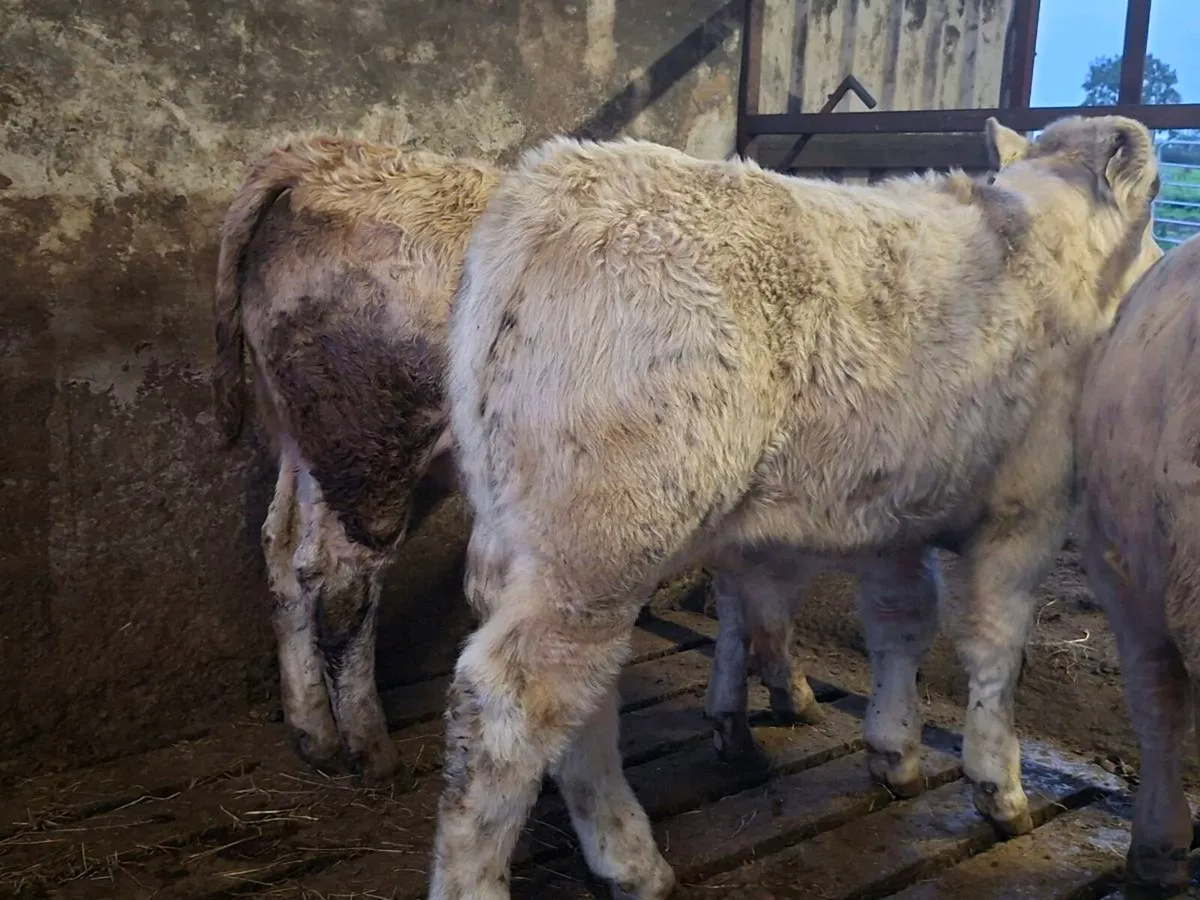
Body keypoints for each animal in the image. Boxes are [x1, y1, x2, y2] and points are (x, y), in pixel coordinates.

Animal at [211, 135, 501, 783]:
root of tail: (325, 159)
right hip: (376, 438)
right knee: (343, 583)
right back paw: (372, 751)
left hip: (303, 427)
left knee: (283, 546)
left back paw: (314, 736)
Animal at [430, 114, 1163, 899]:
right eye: (1155, 199)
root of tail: (546, 182)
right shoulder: (1029, 506)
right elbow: (997, 645)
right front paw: (1000, 787)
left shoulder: (895, 512)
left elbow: (903, 620)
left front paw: (895, 749)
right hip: (603, 538)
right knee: (512, 699)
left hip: (546, 543)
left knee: (581, 697)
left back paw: (629, 858)